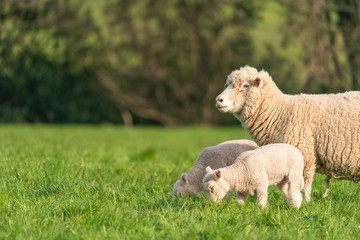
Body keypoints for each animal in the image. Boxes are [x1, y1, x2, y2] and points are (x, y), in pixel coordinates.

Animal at [215, 65, 360, 201]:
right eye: (227, 84)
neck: (280, 112)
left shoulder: (304, 154)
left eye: (246, 85)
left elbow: (305, 184)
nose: (218, 100)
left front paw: (306, 202)